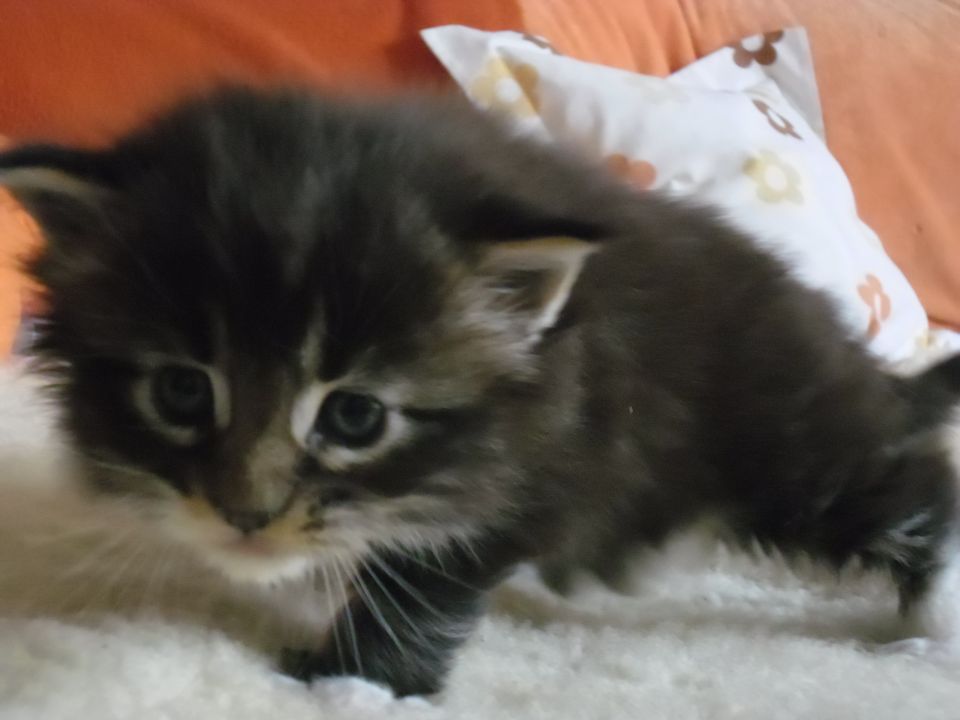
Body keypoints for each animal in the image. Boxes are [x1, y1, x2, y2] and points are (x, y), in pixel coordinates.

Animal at [2, 87, 960, 697]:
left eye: (355, 416)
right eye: (181, 393)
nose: (246, 516)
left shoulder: (543, 453)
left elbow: (423, 581)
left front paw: (352, 680)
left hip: (790, 441)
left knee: (911, 488)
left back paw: (934, 616)